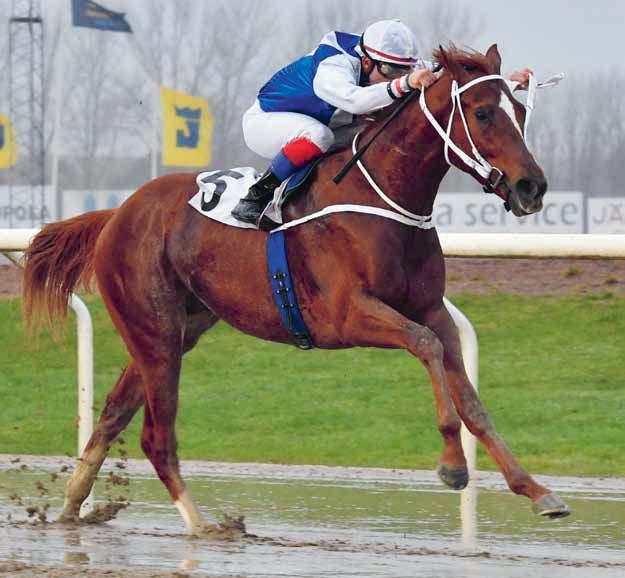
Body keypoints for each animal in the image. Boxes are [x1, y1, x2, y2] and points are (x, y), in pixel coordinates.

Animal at [23, 46, 572, 536]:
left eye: (520, 111)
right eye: (482, 113)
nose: (532, 188)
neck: (381, 197)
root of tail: (117, 212)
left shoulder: (431, 309)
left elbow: (471, 398)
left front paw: (537, 491)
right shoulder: (346, 315)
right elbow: (427, 347)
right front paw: (453, 465)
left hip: (175, 329)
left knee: (114, 413)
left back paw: (72, 506)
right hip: (154, 329)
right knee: (156, 435)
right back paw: (202, 525)